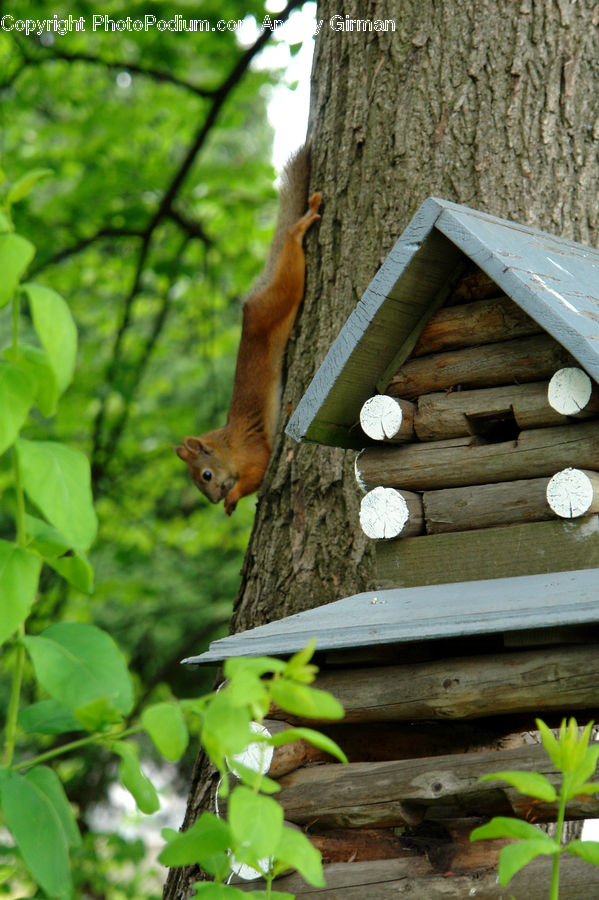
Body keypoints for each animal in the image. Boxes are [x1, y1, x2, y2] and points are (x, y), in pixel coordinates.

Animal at [175, 146, 321, 515]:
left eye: (206, 475)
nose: (214, 500)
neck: (229, 445)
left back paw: (302, 223)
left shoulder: (254, 453)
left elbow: (257, 473)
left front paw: (234, 496)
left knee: (290, 251)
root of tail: (254, 301)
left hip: (282, 296)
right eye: (197, 483)